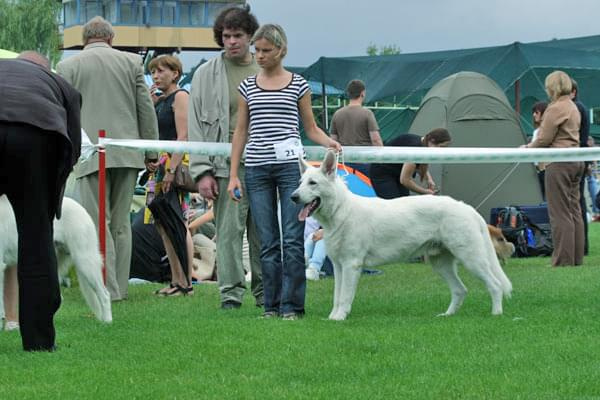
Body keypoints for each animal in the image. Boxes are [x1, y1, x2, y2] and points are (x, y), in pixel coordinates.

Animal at [290, 151, 510, 322]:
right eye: (300, 183)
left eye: (313, 183)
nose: (293, 197)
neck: (340, 212)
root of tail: (467, 208)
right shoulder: (338, 266)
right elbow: (337, 297)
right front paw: (333, 317)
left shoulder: (351, 265)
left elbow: (344, 297)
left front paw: (340, 318)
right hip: (441, 264)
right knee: (460, 290)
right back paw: (447, 316)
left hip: (472, 259)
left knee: (495, 285)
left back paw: (496, 314)